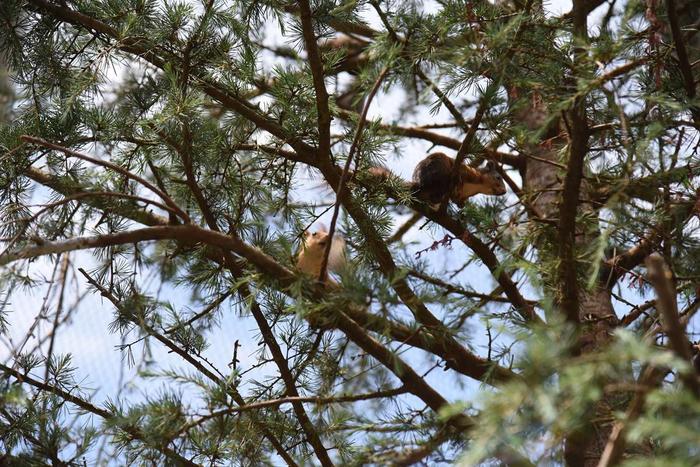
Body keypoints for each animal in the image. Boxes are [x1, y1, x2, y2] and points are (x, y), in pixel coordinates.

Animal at [370, 153, 506, 207]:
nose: (504, 191)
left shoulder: (463, 194)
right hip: (438, 167)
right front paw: (458, 179)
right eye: (498, 177)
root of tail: (419, 183)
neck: (478, 187)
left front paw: (461, 205)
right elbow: (460, 171)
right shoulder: (467, 171)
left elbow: (457, 198)